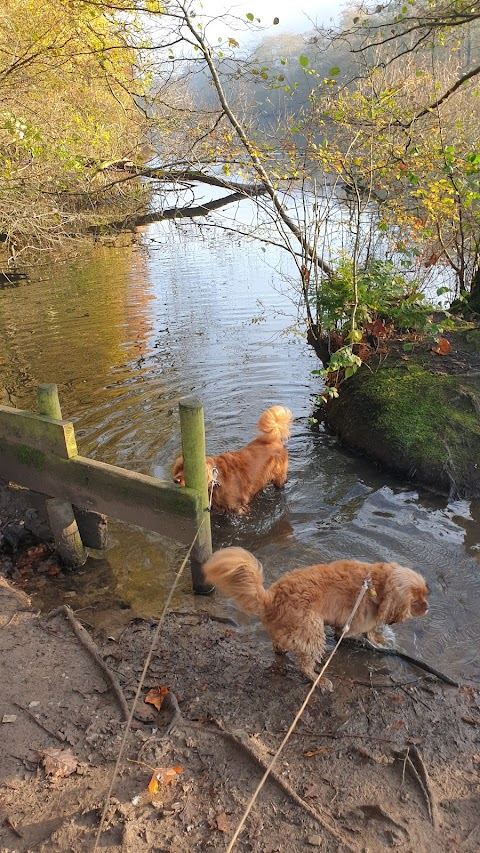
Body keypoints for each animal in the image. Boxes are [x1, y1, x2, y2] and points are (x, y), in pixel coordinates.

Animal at [202, 544, 428, 692]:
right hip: (312, 628)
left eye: (425, 593)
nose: (427, 607)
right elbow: (361, 635)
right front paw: (374, 643)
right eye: (416, 600)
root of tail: (270, 598)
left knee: (279, 646)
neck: (376, 586)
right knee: (305, 665)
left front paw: (378, 639)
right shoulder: (351, 626)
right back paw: (319, 680)